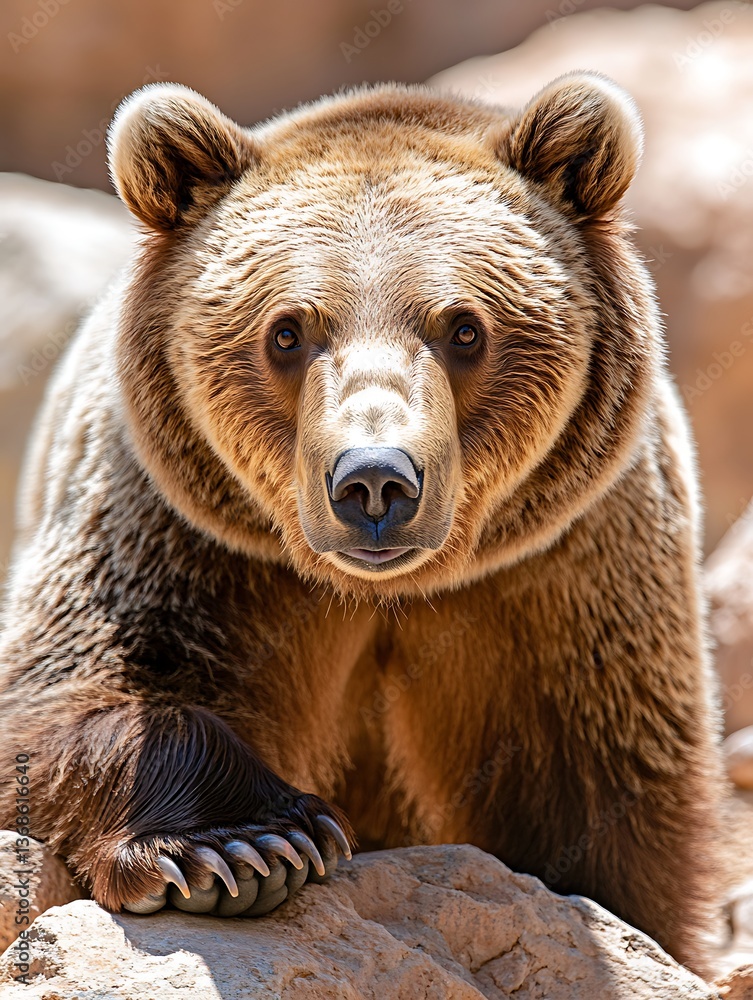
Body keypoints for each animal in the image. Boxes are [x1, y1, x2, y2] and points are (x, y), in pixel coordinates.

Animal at [0, 74, 721, 969]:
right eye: (286, 330)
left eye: (464, 327)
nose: (374, 480)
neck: (387, 594)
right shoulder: (181, 537)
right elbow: (76, 686)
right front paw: (241, 845)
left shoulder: (563, 573)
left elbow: (599, 797)